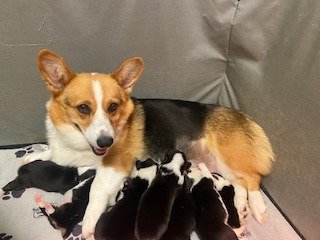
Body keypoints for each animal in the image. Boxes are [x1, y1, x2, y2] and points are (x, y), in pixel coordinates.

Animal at [25, 49, 276, 237]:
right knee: (239, 183)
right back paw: (241, 208)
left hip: (229, 157)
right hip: (221, 166)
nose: (107, 141)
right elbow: (51, 153)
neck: (77, 141)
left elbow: (96, 189)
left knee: (253, 179)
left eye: (113, 107)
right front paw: (32, 156)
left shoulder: (114, 165)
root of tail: (238, 114)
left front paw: (88, 224)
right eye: (83, 108)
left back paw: (258, 207)